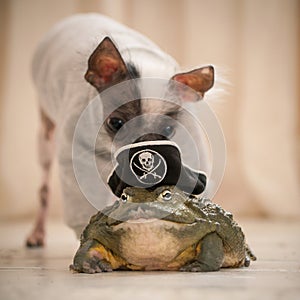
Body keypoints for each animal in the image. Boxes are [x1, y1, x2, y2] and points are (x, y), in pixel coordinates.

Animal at [25, 13, 213, 246]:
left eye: (169, 129)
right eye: (116, 123)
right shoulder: (77, 153)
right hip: (46, 139)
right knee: (43, 189)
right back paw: (37, 233)